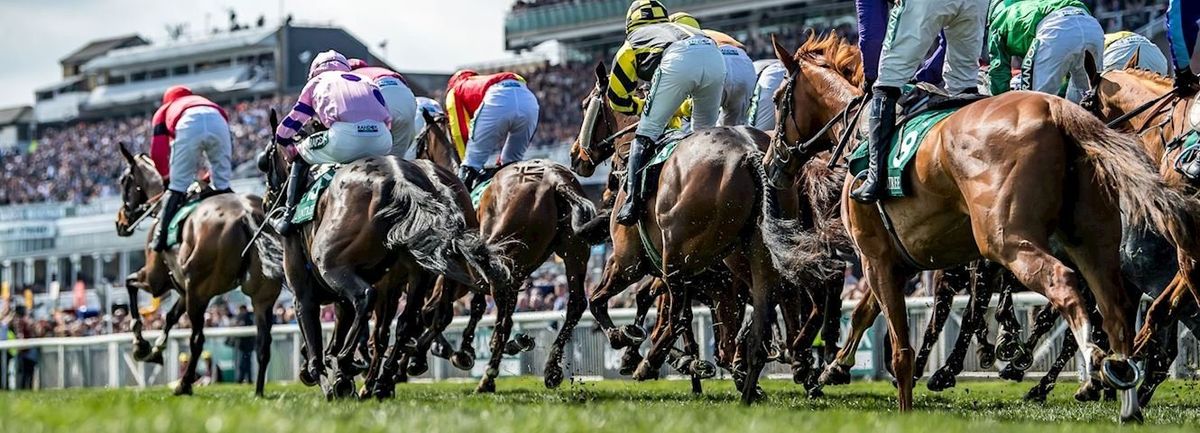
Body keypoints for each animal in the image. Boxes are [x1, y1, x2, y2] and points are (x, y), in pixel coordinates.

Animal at [117, 141, 285, 395]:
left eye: (124, 181)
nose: (120, 222)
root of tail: (246, 214)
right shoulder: (183, 287)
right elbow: (170, 316)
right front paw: (156, 350)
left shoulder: (157, 281)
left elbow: (130, 285)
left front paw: (141, 345)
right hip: (261, 295)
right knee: (263, 344)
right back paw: (258, 392)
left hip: (200, 292)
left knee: (198, 340)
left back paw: (184, 384)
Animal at [763, 34, 1195, 422]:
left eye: (777, 99)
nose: (770, 161)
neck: (862, 134)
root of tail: (1059, 111)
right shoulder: (899, 259)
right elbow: (868, 313)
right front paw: (833, 368)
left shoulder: (877, 258)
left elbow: (902, 346)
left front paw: (903, 403)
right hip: (1093, 244)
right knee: (1117, 310)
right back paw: (1124, 392)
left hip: (1006, 240)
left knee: (1066, 286)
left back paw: (1090, 366)